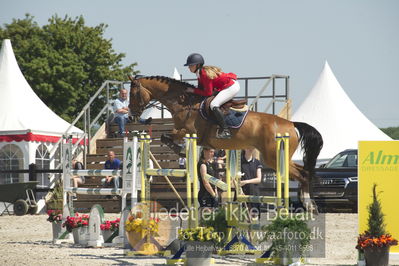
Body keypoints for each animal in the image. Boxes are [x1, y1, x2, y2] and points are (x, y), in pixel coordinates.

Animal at [130, 75, 324, 212]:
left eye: (133, 94)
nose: (132, 116)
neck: (184, 103)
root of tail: (292, 124)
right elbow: (165, 137)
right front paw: (181, 151)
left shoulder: (188, 132)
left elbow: (167, 137)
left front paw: (180, 151)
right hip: (278, 157)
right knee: (304, 171)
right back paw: (306, 202)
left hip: (273, 157)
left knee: (302, 174)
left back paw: (308, 204)